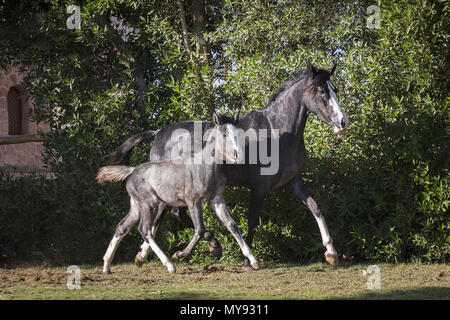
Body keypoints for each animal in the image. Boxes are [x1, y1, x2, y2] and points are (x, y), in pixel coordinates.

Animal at [111, 61, 348, 266]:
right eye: (321, 92)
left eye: (334, 89)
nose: (343, 121)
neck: (277, 131)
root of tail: (158, 133)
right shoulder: (259, 187)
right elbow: (252, 220)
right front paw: (247, 259)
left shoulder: (294, 181)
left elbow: (316, 208)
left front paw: (331, 252)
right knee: (166, 217)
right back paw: (205, 247)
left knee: (166, 217)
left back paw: (149, 254)